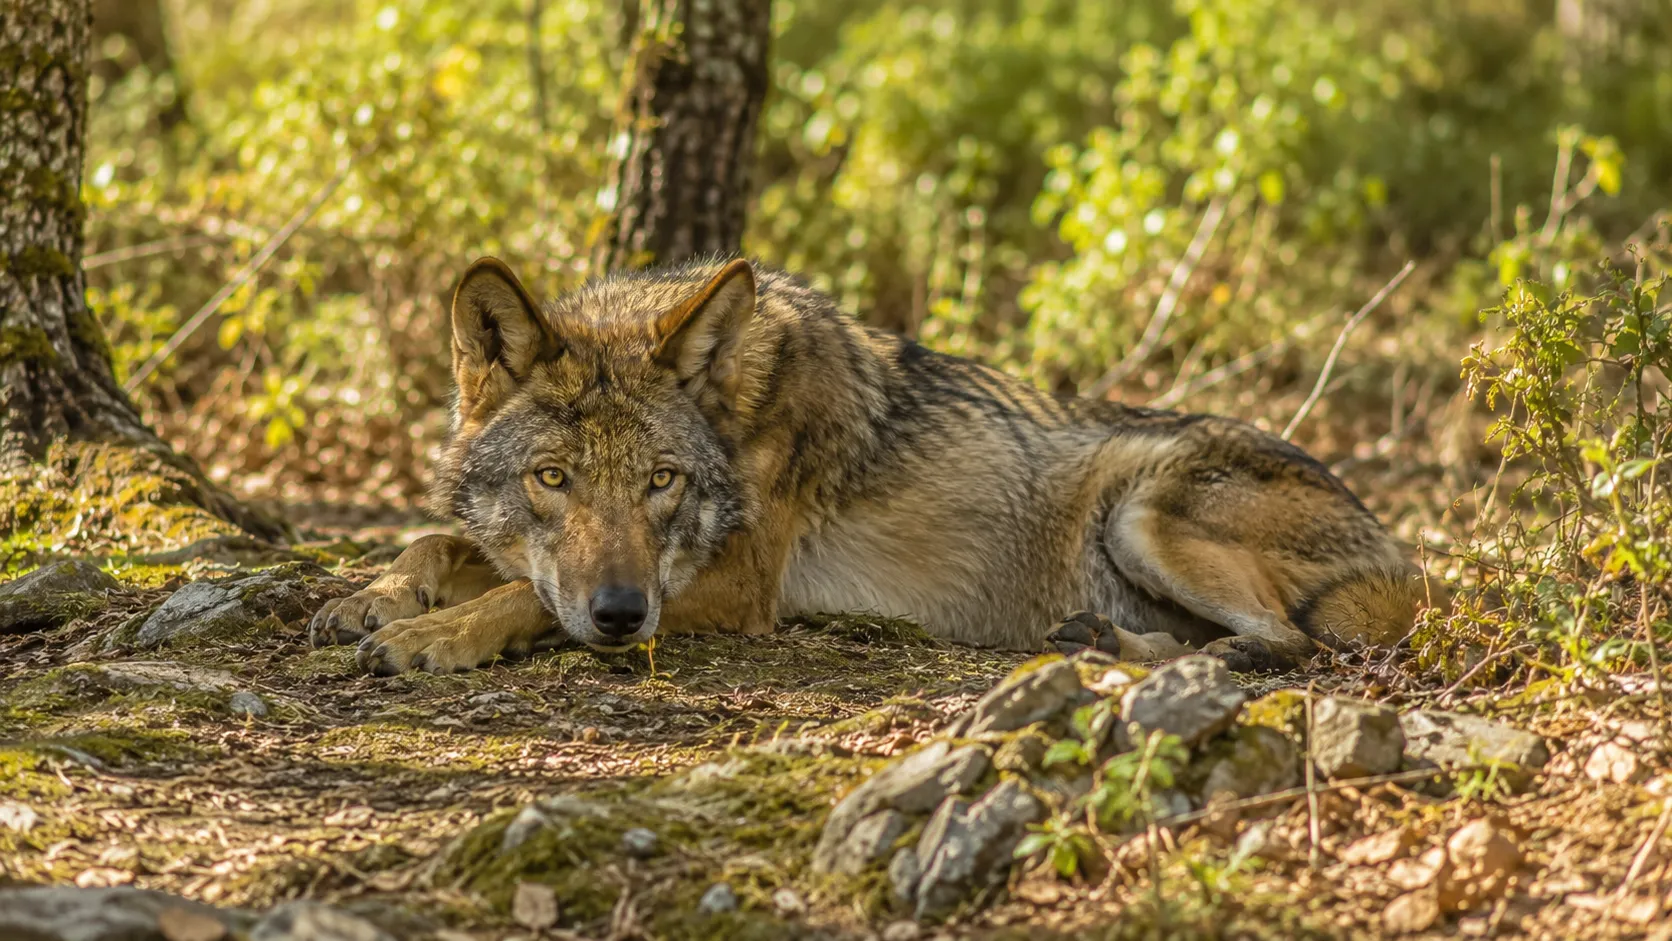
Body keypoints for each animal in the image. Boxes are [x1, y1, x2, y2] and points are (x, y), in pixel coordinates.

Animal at [308, 257, 1421, 675]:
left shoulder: (737, 586)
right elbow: (440, 540)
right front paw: (373, 598)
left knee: (1289, 643)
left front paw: (431, 635)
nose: (621, 615)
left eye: (662, 481)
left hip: (1142, 508)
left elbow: (522, 597)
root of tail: (1409, 557)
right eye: (553, 479)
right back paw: (1097, 637)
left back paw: (1134, 648)